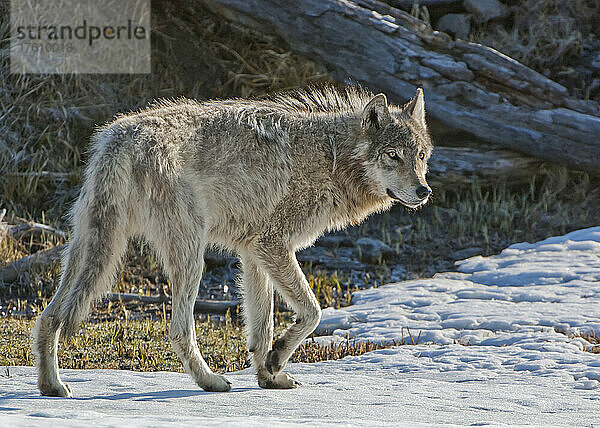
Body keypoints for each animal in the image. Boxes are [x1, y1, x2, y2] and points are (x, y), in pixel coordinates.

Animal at [31, 85, 432, 396]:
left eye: (420, 156)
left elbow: (262, 327)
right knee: (179, 331)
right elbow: (313, 312)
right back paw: (210, 382)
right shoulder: (272, 245)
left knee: (48, 316)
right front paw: (276, 359)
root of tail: (118, 140)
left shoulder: (253, 253)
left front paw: (269, 375)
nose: (424, 191)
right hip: (190, 258)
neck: (330, 156)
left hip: (88, 251)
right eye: (392, 155)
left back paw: (52, 386)